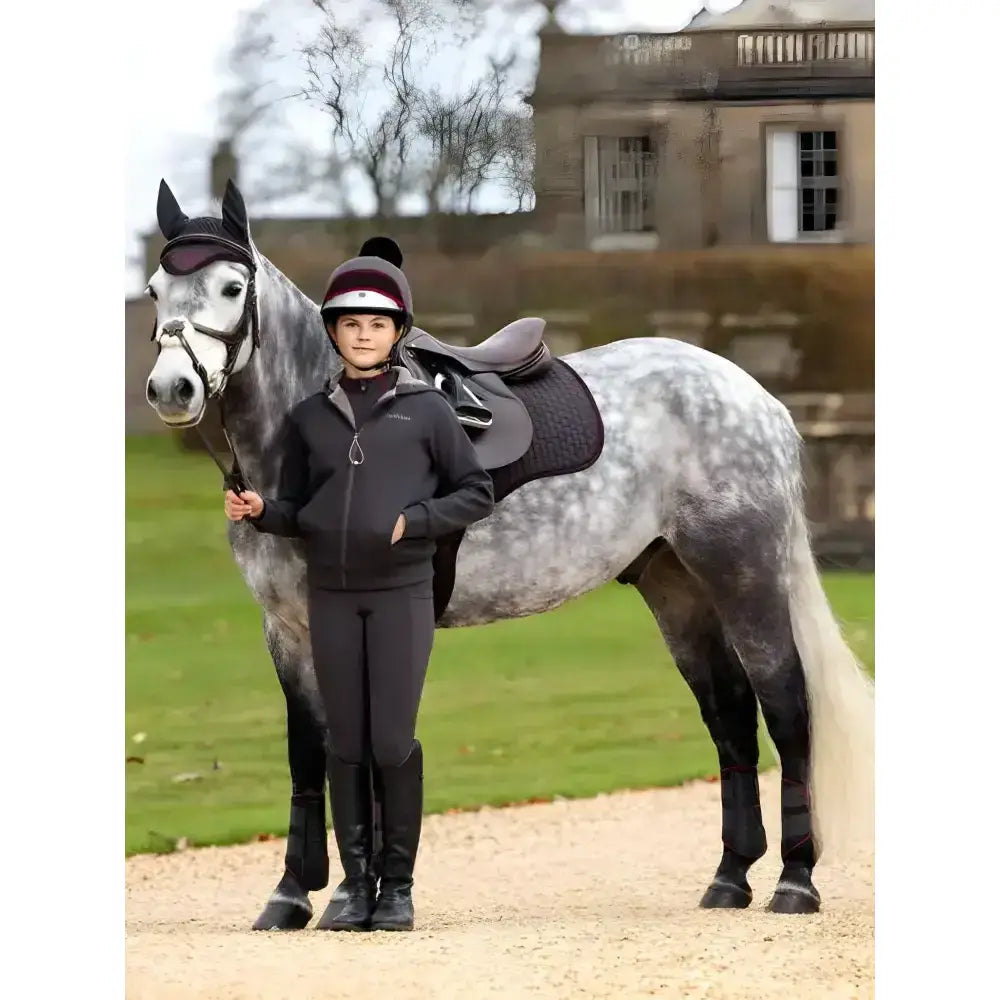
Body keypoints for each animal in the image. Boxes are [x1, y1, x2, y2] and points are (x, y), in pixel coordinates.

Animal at [141, 179, 874, 930]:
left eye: (232, 287)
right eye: (154, 290)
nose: (172, 389)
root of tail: (757, 399)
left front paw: (350, 895)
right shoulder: (288, 630)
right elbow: (309, 750)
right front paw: (296, 894)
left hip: (744, 574)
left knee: (786, 705)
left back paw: (795, 881)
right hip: (676, 587)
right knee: (728, 714)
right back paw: (730, 877)